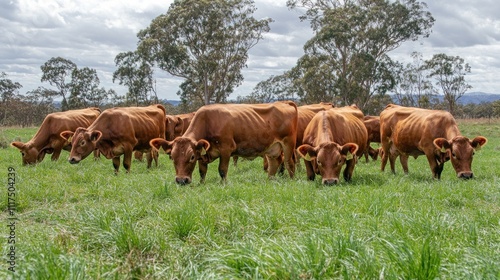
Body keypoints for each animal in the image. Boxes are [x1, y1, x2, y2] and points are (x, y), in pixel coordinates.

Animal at [148, 100, 296, 184]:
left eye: (191, 157)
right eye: (172, 157)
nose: (181, 180)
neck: (208, 122)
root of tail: (284, 103)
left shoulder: (226, 150)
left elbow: (222, 170)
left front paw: (224, 184)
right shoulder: (203, 152)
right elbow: (202, 171)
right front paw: (201, 184)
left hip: (288, 144)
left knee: (289, 163)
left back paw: (292, 181)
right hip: (272, 148)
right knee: (274, 163)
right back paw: (270, 181)